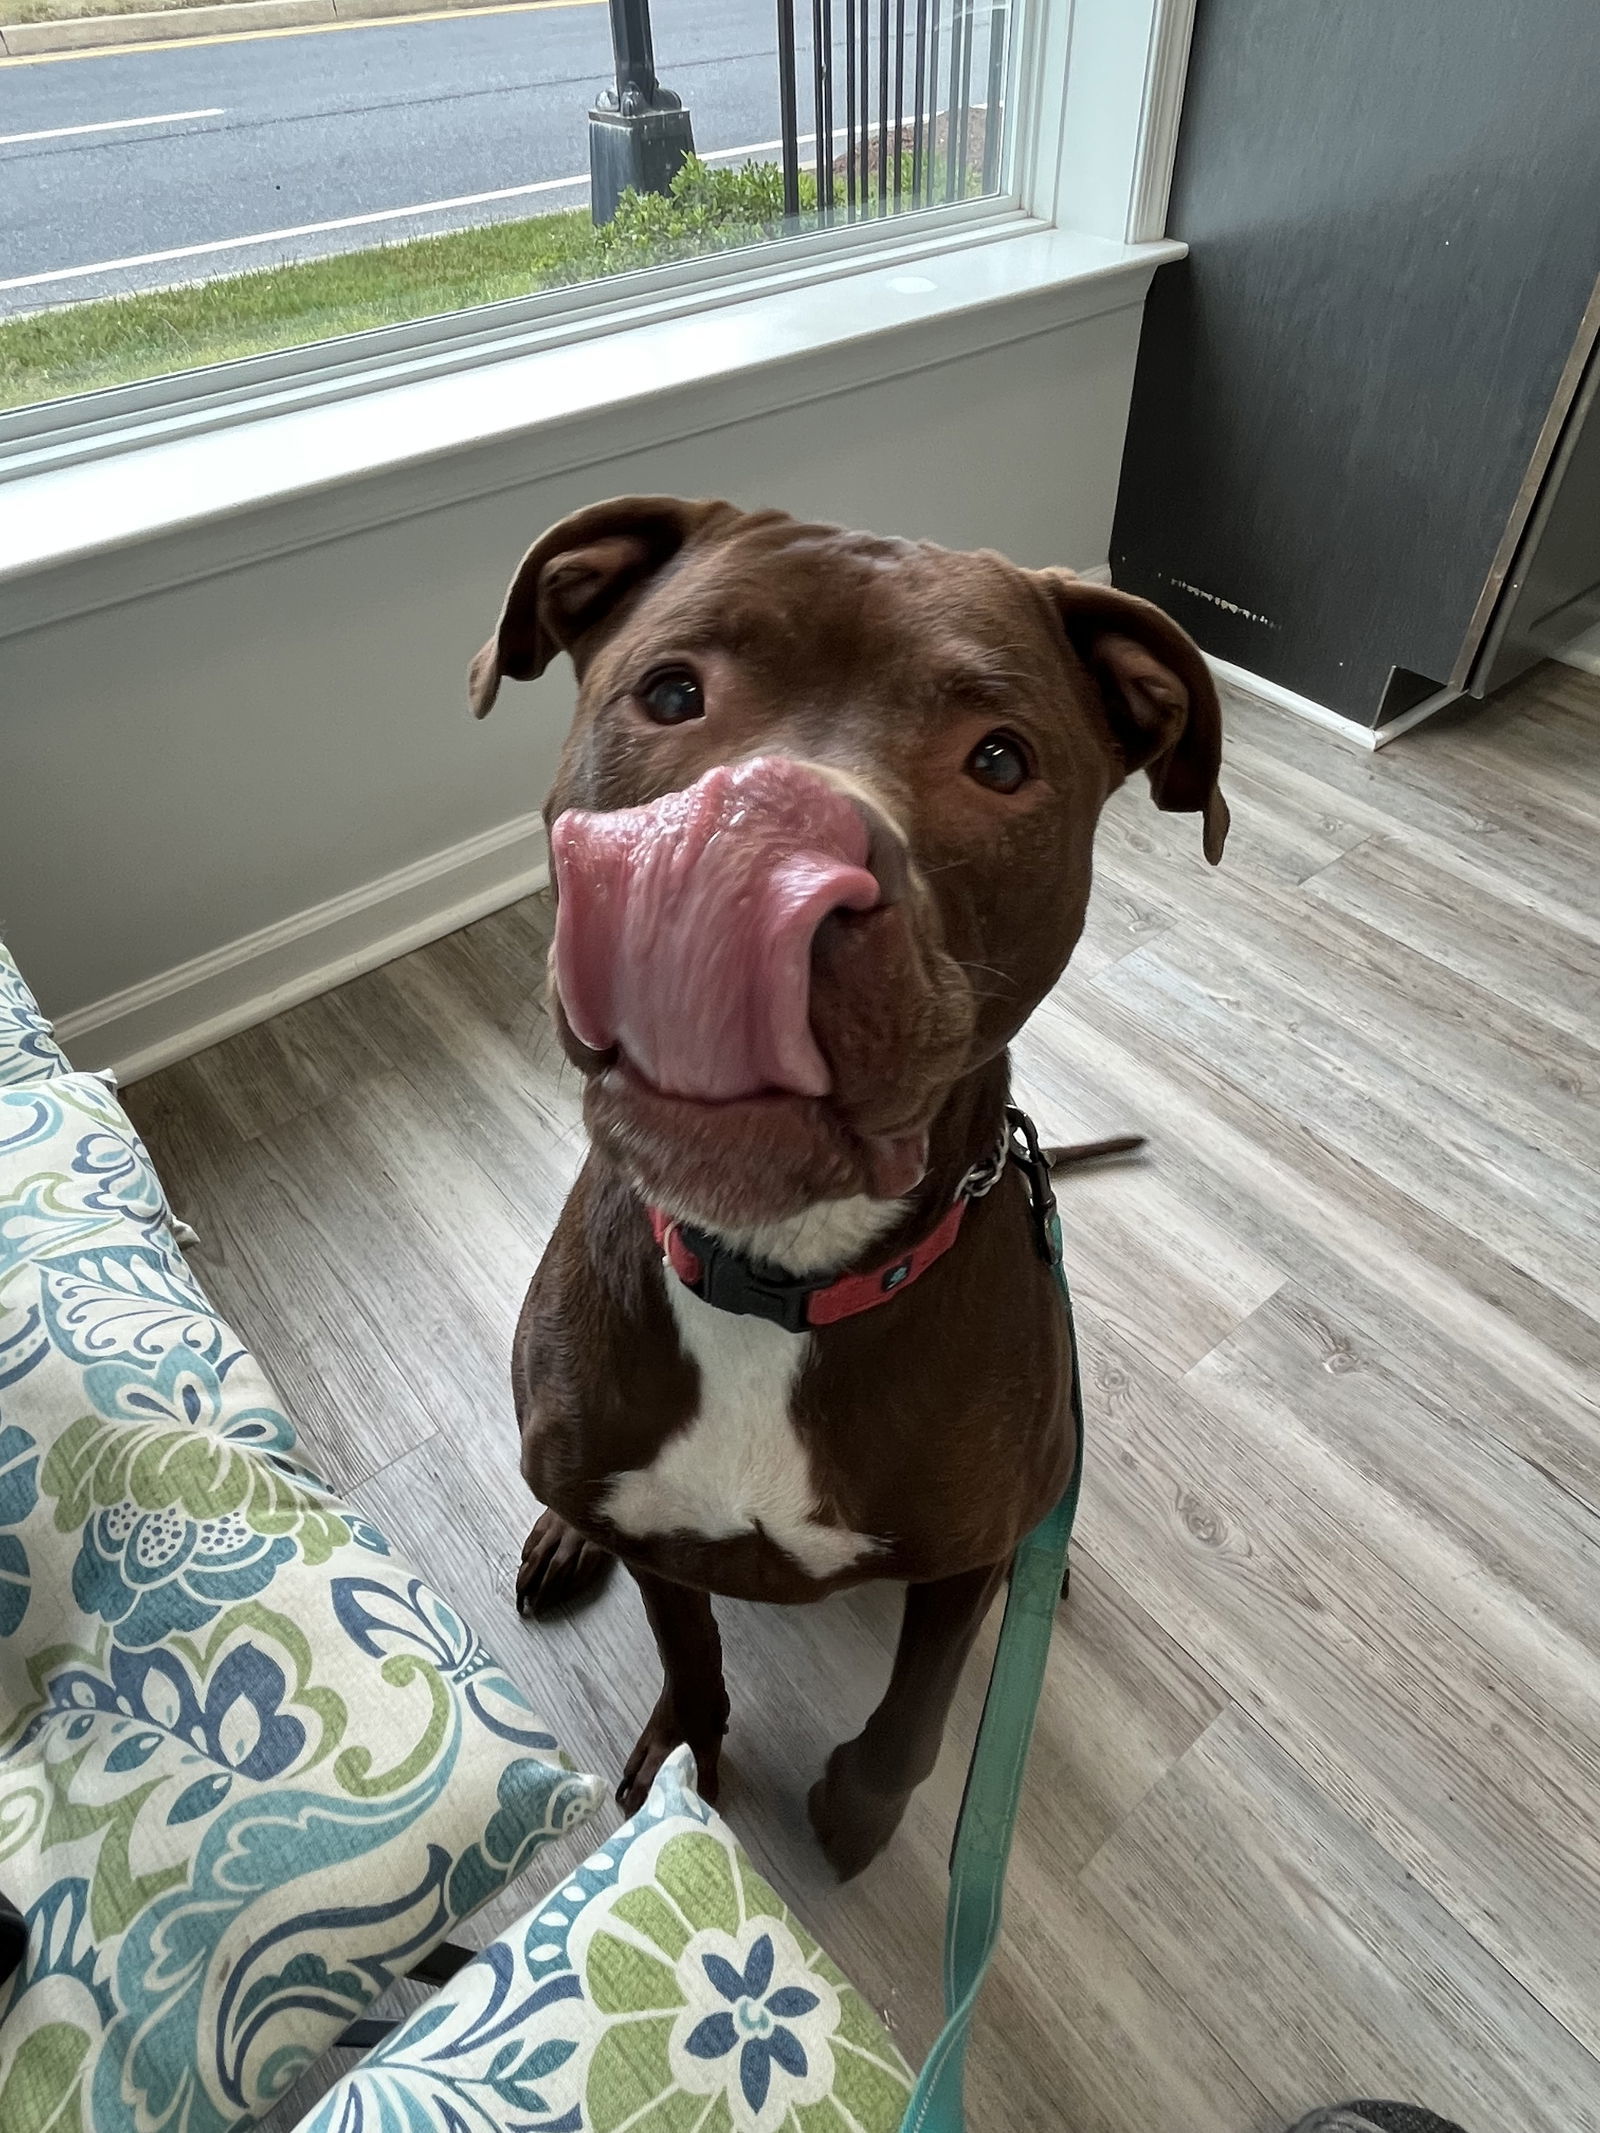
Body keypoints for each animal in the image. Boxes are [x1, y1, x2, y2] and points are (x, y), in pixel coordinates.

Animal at [469, 490, 1237, 1877]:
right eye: (672, 692)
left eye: (999, 761)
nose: (757, 838)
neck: (778, 1277)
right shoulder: (656, 1529)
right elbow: (689, 1648)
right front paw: (687, 1754)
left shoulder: (954, 1567)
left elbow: (919, 1712)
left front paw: (860, 1811)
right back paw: (559, 1535)